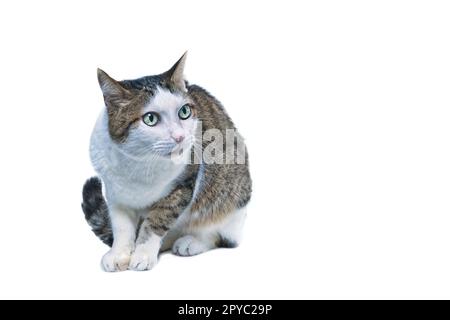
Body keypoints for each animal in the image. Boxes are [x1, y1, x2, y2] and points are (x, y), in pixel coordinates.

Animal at [79, 53, 251, 270]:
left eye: (184, 112)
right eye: (150, 118)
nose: (179, 136)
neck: (138, 161)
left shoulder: (182, 187)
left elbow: (156, 221)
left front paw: (143, 254)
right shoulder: (115, 193)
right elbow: (121, 227)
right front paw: (119, 254)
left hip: (231, 199)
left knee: (220, 233)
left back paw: (191, 241)